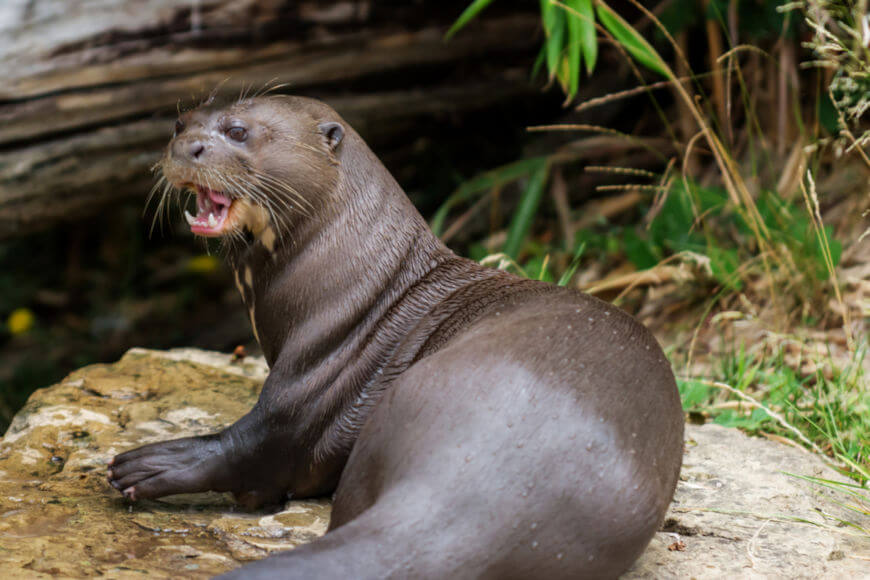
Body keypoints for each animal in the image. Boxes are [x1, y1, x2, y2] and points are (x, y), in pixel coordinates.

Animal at [105, 95, 684, 576]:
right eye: (180, 123)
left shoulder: (313, 378)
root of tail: (474, 492)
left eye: (238, 131)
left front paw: (147, 464)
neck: (363, 283)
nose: (187, 146)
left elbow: (261, 444)